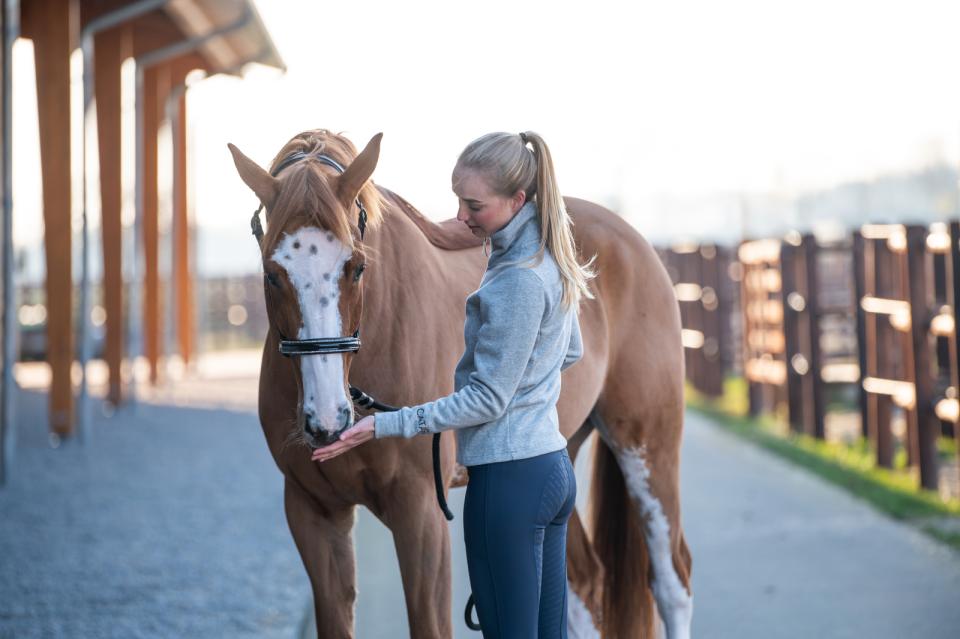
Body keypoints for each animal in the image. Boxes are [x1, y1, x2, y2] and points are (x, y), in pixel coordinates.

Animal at [229, 130, 692, 639]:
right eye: (272, 274)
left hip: (647, 447)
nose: (328, 420)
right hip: (562, 454)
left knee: (671, 579)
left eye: (357, 267)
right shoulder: (313, 513)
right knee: (583, 585)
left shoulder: (422, 516)